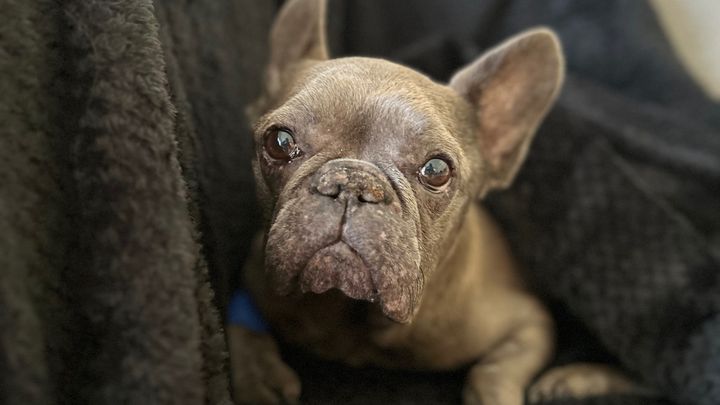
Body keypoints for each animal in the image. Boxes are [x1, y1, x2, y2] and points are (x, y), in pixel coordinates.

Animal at [229, 0, 643, 403]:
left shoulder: (530, 322)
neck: (356, 320)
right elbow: (238, 325)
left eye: (436, 170)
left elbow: (492, 371)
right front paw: (255, 373)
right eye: (279, 142)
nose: (351, 182)